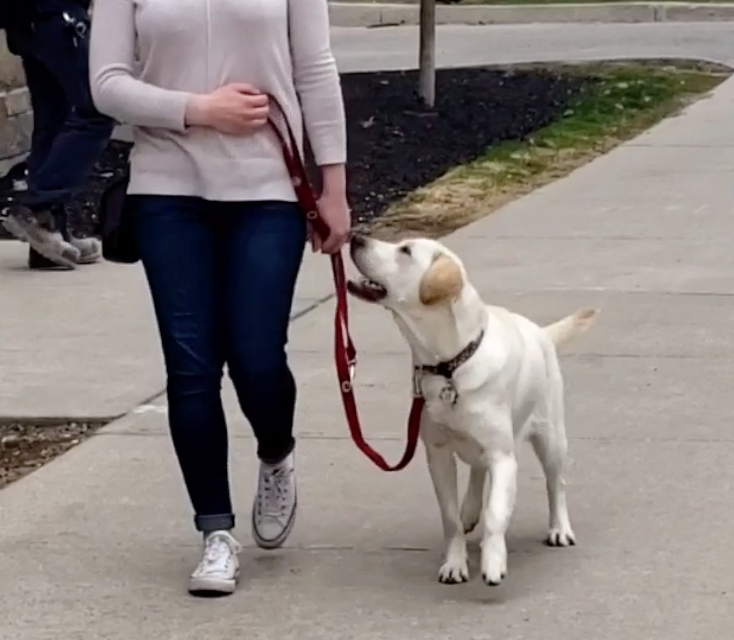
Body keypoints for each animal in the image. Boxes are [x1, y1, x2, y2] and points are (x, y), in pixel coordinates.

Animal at [350, 234, 600, 584]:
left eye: (406, 250)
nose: (355, 236)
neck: (450, 366)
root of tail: (541, 331)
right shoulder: (437, 452)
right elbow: (450, 517)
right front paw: (455, 562)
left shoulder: (504, 456)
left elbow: (496, 513)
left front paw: (494, 560)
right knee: (478, 472)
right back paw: (470, 510)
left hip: (551, 437)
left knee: (556, 483)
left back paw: (559, 528)